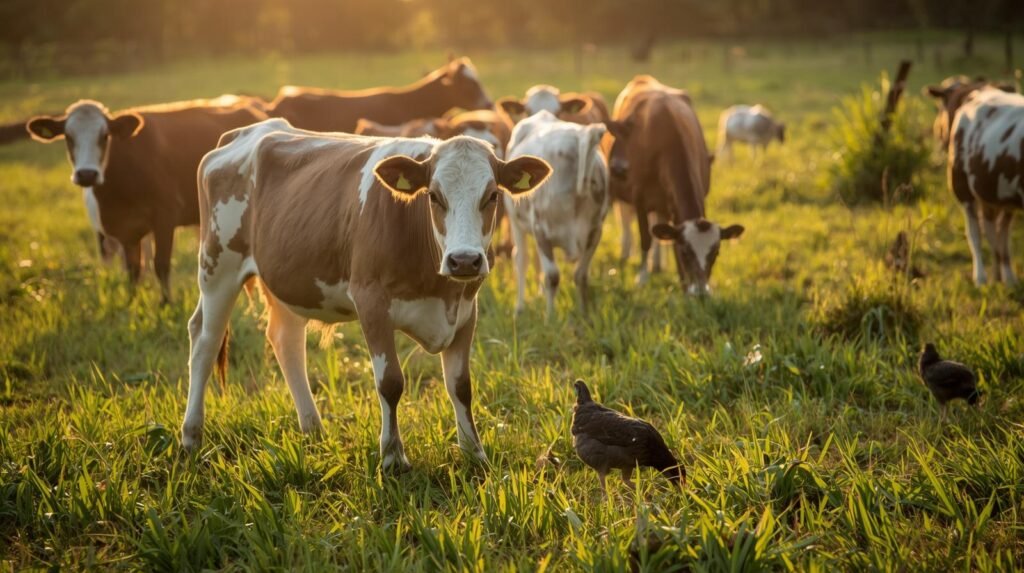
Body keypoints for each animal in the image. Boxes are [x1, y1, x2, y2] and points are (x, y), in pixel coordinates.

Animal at [26, 95, 266, 302]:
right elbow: (133, 270)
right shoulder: (126, 232)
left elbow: (161, 264)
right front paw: (131, 302)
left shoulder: (165, 217)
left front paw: (166, 303)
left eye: (104, 136)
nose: (87, 174)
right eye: (68, 137)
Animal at [183, 119, 551, 471]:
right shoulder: (370, 301)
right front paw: (392, 457)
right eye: (434, 196)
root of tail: (248, 131)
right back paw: (191, 435)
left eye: (492, 195)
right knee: (204, 340)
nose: (463, 260)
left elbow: (461, 385)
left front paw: (474, 454)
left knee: (286, 341)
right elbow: (390, 382)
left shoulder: (464, 309)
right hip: (217, 267)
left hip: (287, 278)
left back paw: (313, 429)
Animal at [504, 111, 609, 314]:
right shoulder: (541, 230)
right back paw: (519, 308)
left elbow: (581, 275)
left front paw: (584, 314)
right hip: (516, 220)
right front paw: (550, 317)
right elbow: (552, 277)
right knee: (521, 259)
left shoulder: (595, 232)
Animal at [604, 75, 744, 294]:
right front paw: (642, 278)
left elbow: (665, 237)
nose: (701, 293)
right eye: (685, 251)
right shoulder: (639, 197)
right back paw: (628, 255)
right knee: (627, 222)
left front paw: (683, 284)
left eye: (715, 253)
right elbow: (646, 237)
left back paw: (657, 264)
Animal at [941, 85, 1023, 285]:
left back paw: (1006, 277)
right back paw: (980, 278)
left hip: (997, 193)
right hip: (962, 187)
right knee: (975, 233)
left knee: (999, 232)